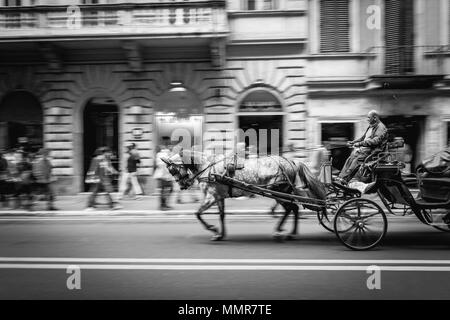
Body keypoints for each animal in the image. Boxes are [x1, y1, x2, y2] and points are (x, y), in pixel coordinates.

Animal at [160, 150, 326, 240]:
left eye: (172, 170)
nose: (182, 185)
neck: (207, 167)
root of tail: (290, 161)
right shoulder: (219, 197)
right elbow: (221, 215)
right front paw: (220, 234)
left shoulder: (211, 196)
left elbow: (198, 214)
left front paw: (213, 229)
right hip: (283, 192)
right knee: (294, 209)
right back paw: (291, 233)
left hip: (279, 191)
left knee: (291, 208)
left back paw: (280, 231)